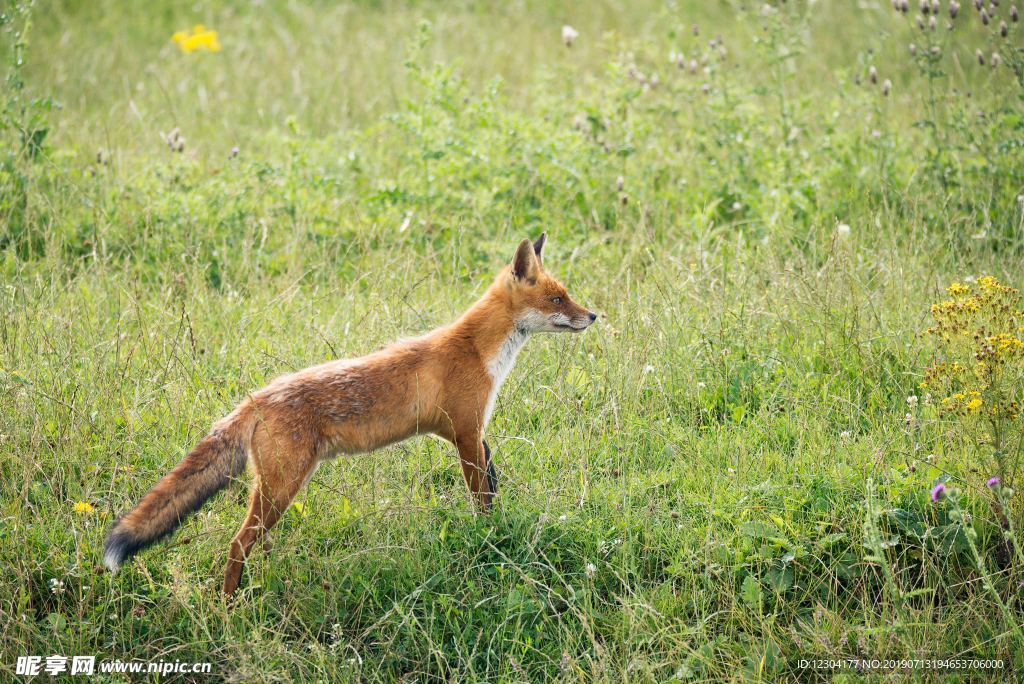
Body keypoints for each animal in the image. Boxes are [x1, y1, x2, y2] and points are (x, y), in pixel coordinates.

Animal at [99, 235, 598, 593]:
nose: (594, 316)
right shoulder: (465, 432)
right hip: (281, 488)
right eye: (558, 300)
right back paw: (229, 605)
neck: (479, 351)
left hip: (274, 493)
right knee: (236, 545)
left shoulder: (476, 434)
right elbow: (482, 499)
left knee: (251, 543)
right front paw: (489, 538)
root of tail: (256, 398)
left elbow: (494, 486)